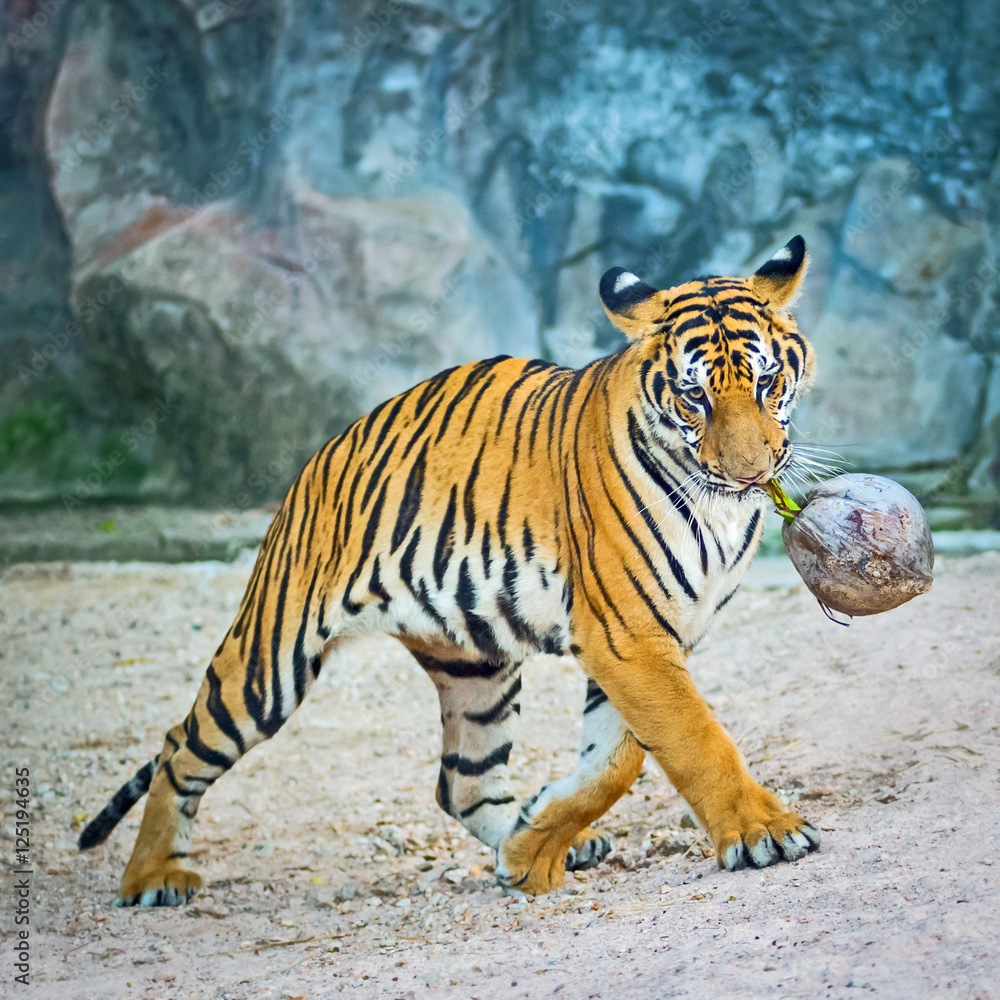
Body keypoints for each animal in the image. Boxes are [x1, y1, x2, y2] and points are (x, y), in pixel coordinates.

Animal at [79, 235, 821, 905]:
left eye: (766, 382)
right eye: (695, 398)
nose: (751, 472)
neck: (719, 509)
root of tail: (322, 453)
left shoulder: (653, 638)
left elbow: (618, 760)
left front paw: (531, 847)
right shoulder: (628, 634)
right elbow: (694, 739)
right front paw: (764, 832)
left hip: (476, 665)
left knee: (462, 782)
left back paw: (530, 839)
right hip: (270, 662)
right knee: (181, 746)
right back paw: (151, 878)